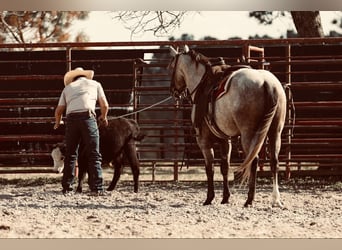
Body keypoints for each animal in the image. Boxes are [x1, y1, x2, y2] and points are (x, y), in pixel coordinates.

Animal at [170, 45, 288, 207]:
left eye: (171, 66)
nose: (173, 91)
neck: (201, 83)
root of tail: (267, 83)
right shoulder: (225, 139)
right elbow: (224, 167)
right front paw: (225, 197)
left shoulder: (204, 141)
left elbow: (210, 168)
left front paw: (209, 198)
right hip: (275, 131)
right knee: (274, 161)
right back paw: (276, 199)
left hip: (248, 134)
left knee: (253, 160)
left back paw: (249, 199)